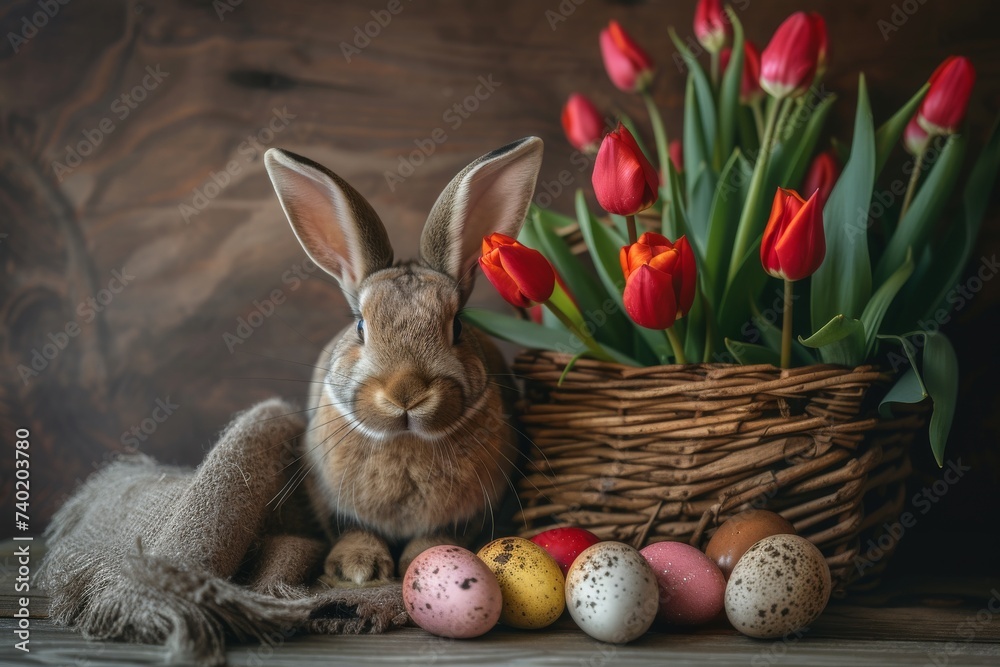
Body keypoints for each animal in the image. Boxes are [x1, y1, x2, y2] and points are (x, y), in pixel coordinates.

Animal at [263, 137, 543, 585]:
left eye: (457, 327)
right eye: (360, 326)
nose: (406, 392)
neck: (406, 440)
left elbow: (438, 536)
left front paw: (425, 561)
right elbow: (354, 530)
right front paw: (356, 570)